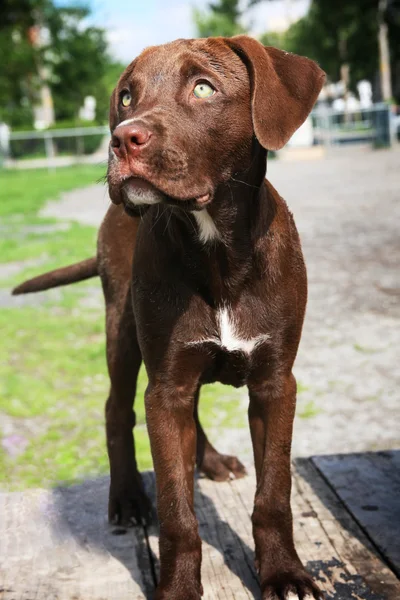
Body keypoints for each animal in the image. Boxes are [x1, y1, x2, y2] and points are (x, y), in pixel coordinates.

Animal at [14, 36, 324, 600]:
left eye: (203, 88)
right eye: (127, 97)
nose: (121, 139)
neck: (217, 251)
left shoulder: (275, 383)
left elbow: (274, 493)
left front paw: (285, 573)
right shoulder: (165, 388)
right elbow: (178, 511)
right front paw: (178, 586)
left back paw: (211, 461)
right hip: (124, 331)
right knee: (116, 409)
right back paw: (128, 498)